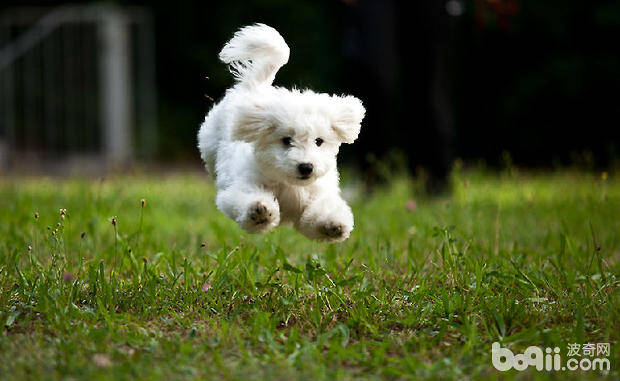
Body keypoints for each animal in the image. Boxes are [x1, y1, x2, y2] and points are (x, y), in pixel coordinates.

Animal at [197, 23, 364, 242]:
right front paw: (259, 211)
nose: (306, 167)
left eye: (319, 141)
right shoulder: (240, 189)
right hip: (209, 142)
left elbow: (317, 215)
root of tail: (255, 87)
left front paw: (333, 224)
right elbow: (245, 200)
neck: (288, 184)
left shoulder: (315, 196)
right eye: (286, 140)